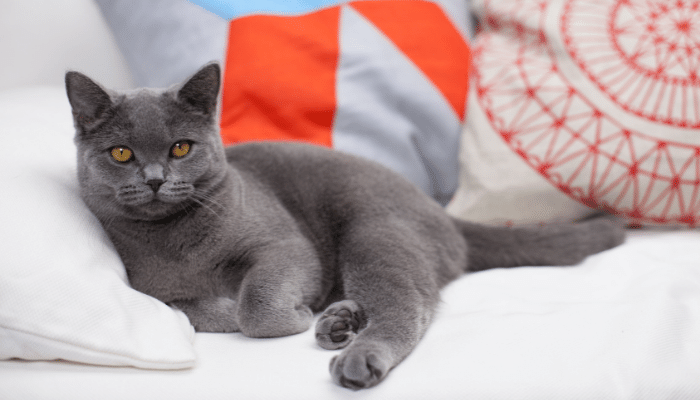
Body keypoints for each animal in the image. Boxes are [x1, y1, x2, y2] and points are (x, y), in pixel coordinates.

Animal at [64, 63, 624, 390]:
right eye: (121, 153)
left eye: (180, 147)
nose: (156, 180)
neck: (178, 242)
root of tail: (441, 211)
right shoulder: (153, 292)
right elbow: (196, 311)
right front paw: (258, 309)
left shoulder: (284, 245)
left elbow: (255, 305)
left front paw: (289, 312)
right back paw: (341, 321)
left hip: (373, 231)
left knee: (408, 307)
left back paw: (358, 354)